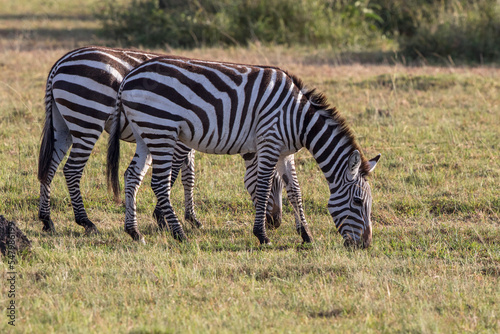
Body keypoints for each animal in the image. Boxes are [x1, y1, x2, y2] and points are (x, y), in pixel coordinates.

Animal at [39, 47, 296, 235]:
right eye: (274, 184)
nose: (276, 223)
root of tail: (60, 63)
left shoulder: (188, 139)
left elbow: (188, 177)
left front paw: (191, 218)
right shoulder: (179, 139)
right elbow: (173, 175)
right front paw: (162, 218)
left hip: (63, 124)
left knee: (48, 168)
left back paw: (47, 220)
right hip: (87, 118)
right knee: (71, 170)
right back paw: (86, 222)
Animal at [105, 56, 378, 247]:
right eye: (357, 201)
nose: (365, 245)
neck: (299, 119)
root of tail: (129, 77)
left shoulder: (285, 153)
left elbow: (295, 191)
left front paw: (306, 235)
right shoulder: (269, 141)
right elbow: (264, 186)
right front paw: (262, 235)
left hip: (146, 134)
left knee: (132, 176)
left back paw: (134, 232)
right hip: (161, 130)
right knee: (159, 184)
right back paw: (180, 234)